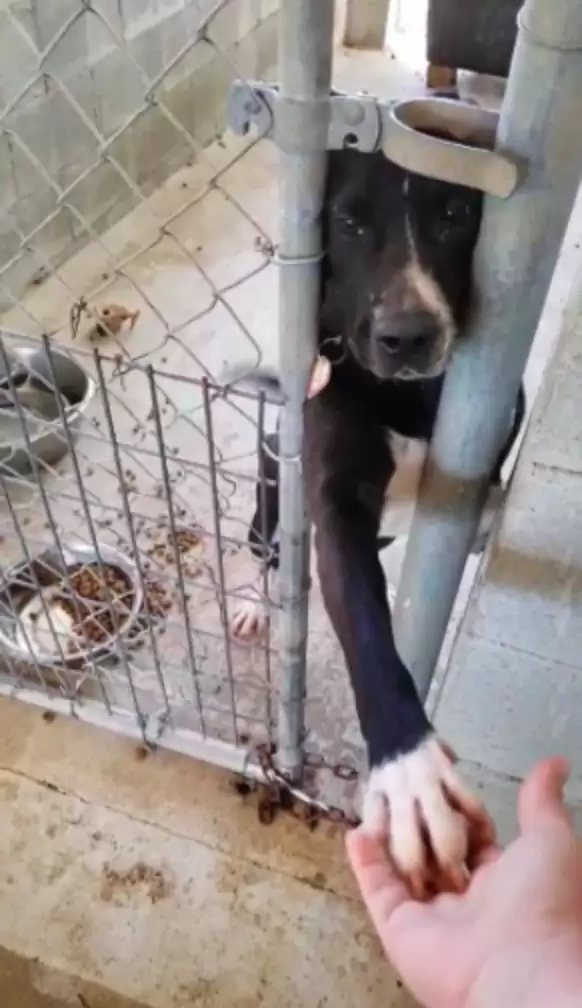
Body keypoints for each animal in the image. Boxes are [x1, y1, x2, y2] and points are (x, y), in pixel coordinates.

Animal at [225, 132, 520, 891]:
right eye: (348, 223)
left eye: (456, 213)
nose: (406, 336)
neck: (405, 397)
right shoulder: (337, 508)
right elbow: (365, 626)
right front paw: (411, 770)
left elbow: (491, 494)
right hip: (272, 511)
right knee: (261, 551)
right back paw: (251, 602)